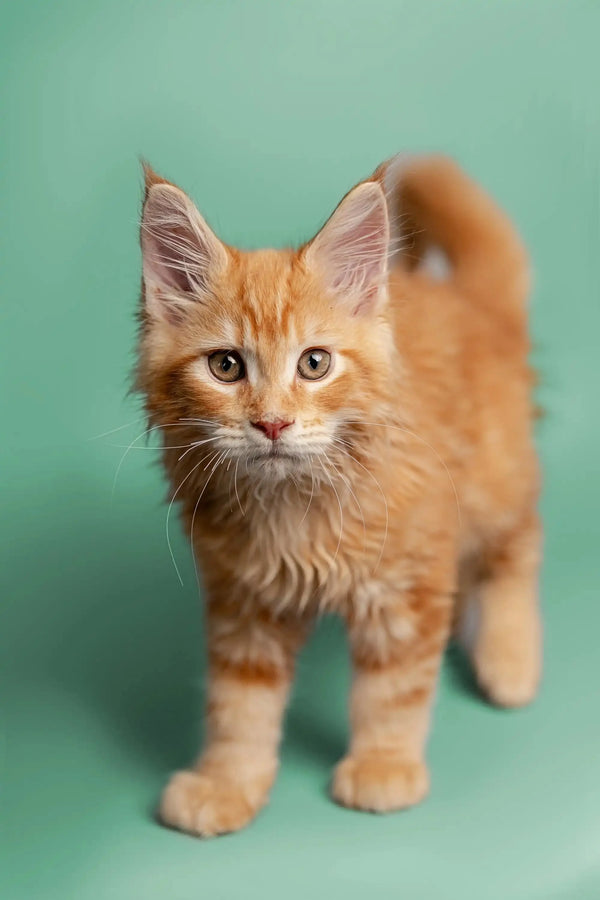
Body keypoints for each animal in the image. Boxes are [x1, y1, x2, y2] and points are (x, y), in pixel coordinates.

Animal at [137, 153, 544, 836]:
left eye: (314, 363)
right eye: (225, 366)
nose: (272, 423)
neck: (292, 503)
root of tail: (468, 301)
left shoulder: (404, 585)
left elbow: (393, 690)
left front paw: (384, 766)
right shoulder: (242, 602)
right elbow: (238, 707)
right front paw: (228, 783)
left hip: (496, 477)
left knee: (517, 547)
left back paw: (509, 656)